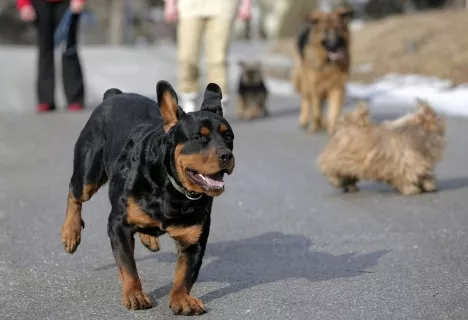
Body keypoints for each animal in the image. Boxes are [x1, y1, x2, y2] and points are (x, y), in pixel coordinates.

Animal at [61, 80, 236, 316]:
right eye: (199, 138)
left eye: (229, 137)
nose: (227, 155)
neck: (171, 186)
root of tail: (113, 95)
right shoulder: (118, 225)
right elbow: (128, 265)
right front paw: (134, 294)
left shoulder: (194, 239)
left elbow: (185, 272)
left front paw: (182, 298)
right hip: (88, 172)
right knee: (75, 193)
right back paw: (70, 232)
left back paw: (148, 237)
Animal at [290, 6, 352, 134]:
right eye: (325, 31)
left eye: (338, 29)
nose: (334, 45)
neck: (328, 63)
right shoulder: (315, 87)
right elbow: (316, 109)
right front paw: (315, 127)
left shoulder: (336, 87)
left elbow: (334, 110)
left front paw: (332, 129)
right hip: (305, 82)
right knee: (306, 100)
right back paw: (305, 120)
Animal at [318, 100, 446, 195]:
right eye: (436, 116)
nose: (442, 120)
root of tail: (347, 126)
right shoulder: (407, 161)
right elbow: (407, 175)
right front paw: (411, 189)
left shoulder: (419, 161)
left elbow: (425, 173)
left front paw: (429, 185)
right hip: (339, 159)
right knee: (332, 169)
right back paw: (336, 181)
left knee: (349, 175)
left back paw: (350, 186)